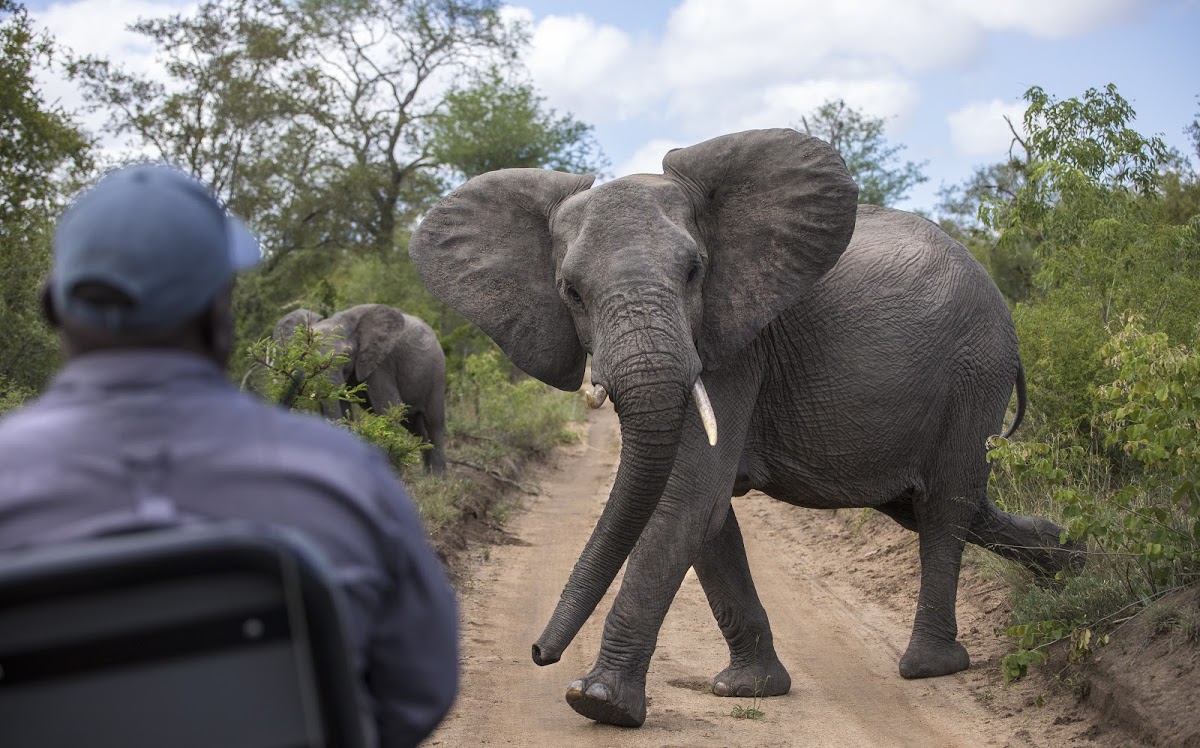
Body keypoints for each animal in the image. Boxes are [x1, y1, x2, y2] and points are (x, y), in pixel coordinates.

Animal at [272, 304, 451, 473]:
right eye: (306, 354)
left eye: (346, 355)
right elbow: (344, 407)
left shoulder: (383, 363)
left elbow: (390, 407)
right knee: (416, 426)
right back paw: (427, 475)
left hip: (436, 372)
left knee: (434, 423)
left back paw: (436, 478)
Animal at [408, 131, 1084, 729]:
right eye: (569, 292)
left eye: (694, 272)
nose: (538, 654)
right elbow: (703, 514)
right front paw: (749, 689)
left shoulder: (734, 345)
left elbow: (686, 496)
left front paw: (598, 704)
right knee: (935, 505)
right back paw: (1070, 564)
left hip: (974, 370)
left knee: (945, 504)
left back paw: (929, 666)